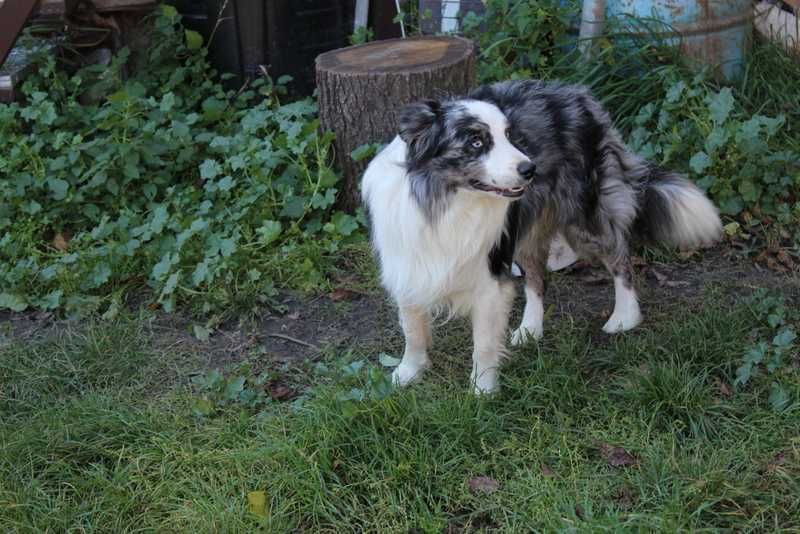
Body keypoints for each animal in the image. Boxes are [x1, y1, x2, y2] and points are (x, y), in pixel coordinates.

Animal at [360, 81, 720, 396]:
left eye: (510, 136)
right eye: (476, 142)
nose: (529, 169)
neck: (444, 200)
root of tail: (577, 94)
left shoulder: (490, 275)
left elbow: (484, 343)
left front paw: (482, 391)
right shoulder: (407, 263)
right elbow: (412, 329)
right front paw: (408, 373)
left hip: (586, 217)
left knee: (619, 256)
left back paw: (624, 317)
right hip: (525, 232)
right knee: (536, 278)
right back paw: (530, 328)